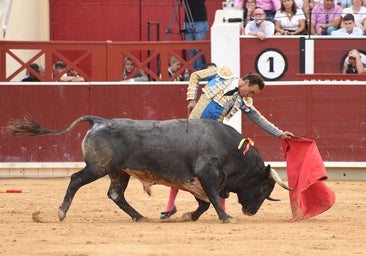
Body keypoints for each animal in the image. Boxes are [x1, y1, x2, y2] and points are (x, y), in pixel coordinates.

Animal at [7, 115, 290, 223]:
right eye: (264, 188)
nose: (251, 211)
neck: (232, 149)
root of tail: (99, 121)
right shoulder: (206, 174)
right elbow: (212, 199)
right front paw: (226, 217)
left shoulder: (196, 181)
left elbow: (203, 203)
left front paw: (188, 215)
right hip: (98, 167)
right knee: (76, 180)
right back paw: (62, 212)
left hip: (119, 173)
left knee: (115, 194)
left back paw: (139, 216)